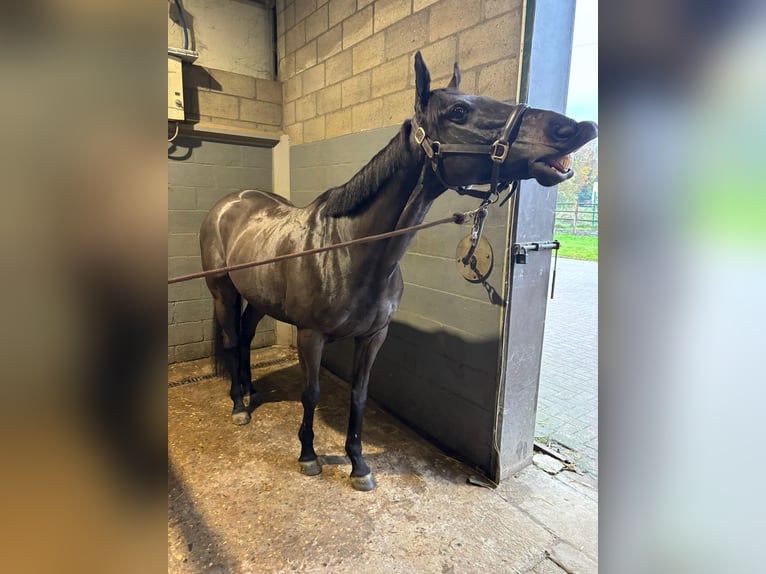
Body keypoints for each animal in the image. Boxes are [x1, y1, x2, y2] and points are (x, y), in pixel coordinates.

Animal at [201, 51, 596, 490]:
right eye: (459, 110)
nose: (573, 128)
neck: (348, 251)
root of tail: (230, 203)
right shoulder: (310, 335)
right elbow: (312, 393)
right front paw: (308, 456)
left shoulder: (374, 336)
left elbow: (358, 395)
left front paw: (359, 465)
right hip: (222, 290)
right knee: (233, 339)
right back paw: (239, 404)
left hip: (256, 296)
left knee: (247, 336)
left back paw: (251, 391)